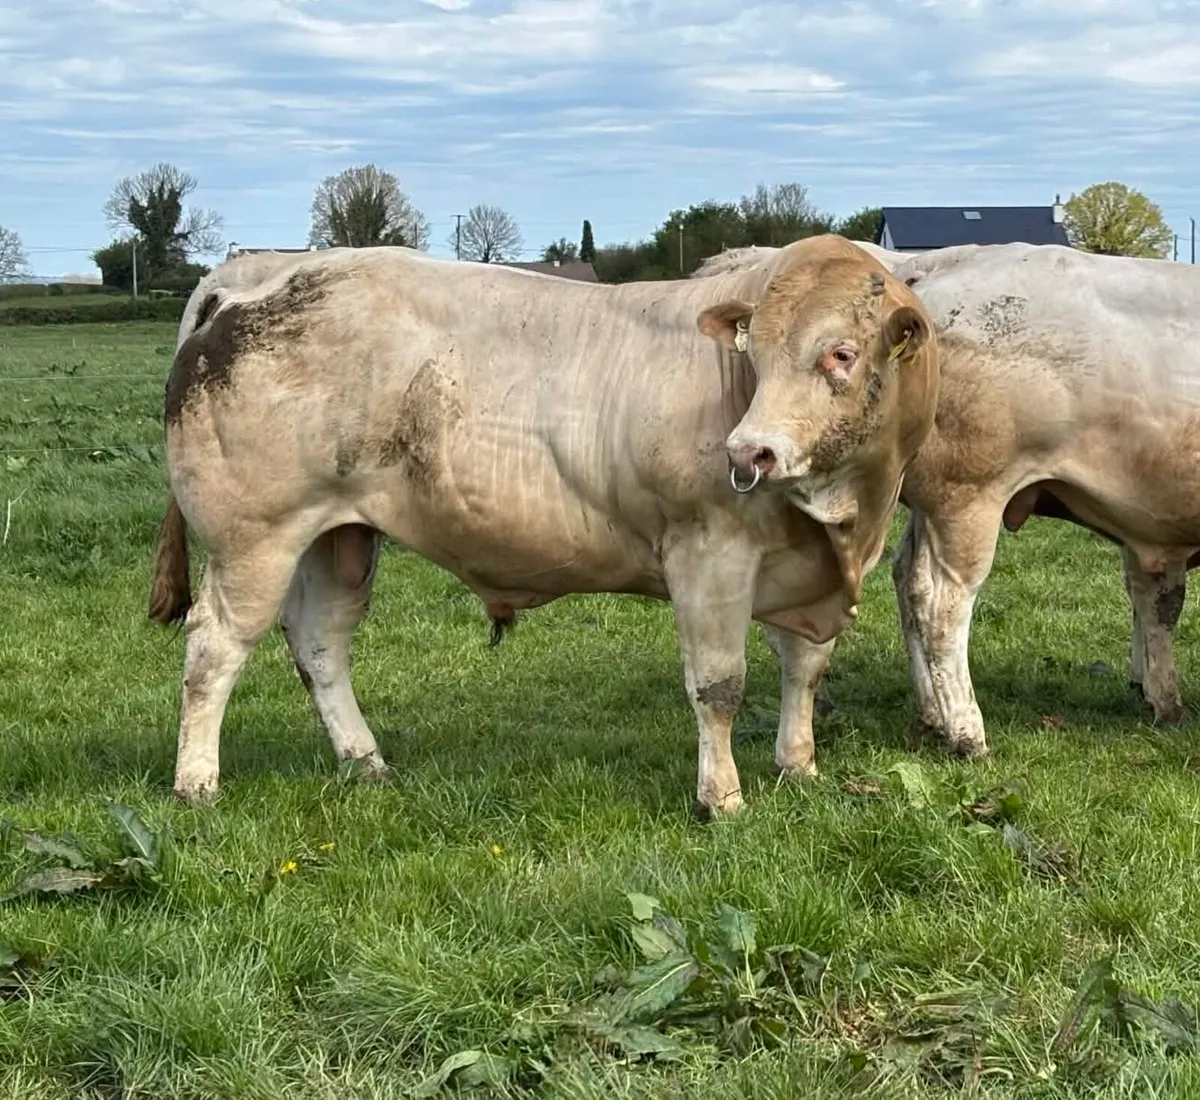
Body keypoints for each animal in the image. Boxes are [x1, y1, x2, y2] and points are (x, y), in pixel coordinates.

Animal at [148, 235, 939, 817]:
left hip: (335, 536)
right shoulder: (708, 553)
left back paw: (366, 760)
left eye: (840, 353)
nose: (749, 452)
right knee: (214, 648)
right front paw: (722, 798)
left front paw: (797, 765)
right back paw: (197, 784)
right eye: (754, 351)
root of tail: (259, 273)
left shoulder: (801, 569)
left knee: (319, 644)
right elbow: (719, 684)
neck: (845, 519)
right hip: (255, 538)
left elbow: (804, 668)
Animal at [703, 240, 1200, 755]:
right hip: (968, 496)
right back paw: (965, 731)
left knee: (908, 583)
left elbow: (1155, 601)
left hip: (933, 502)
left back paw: (931, 715)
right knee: (941, 602)